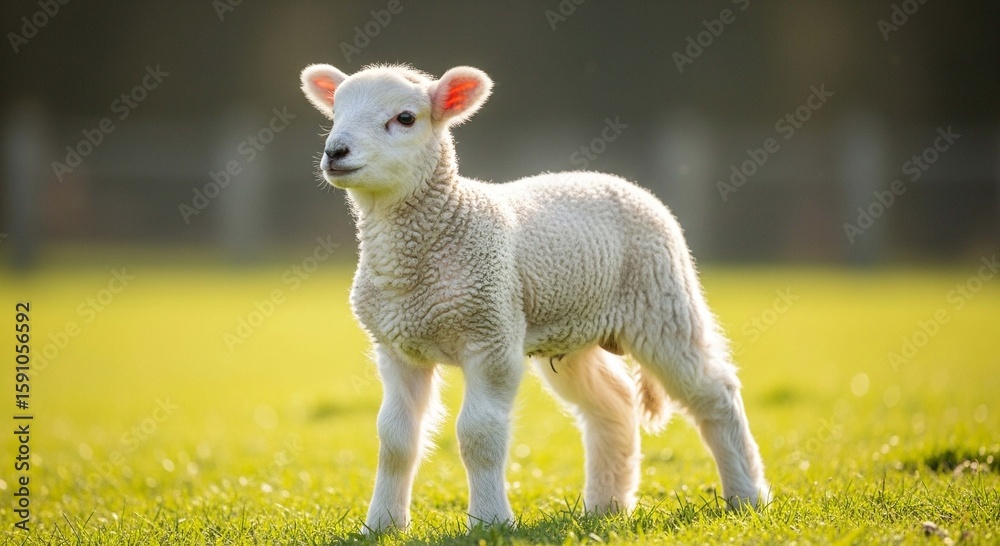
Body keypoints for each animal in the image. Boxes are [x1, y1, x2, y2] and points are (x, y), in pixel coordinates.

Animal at [299, 62, 771, 533]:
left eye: (405, 118)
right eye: (335, 113)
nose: (335, 151)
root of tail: (618, 180)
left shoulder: (491, 334)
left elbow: (479, 435)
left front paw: (489, 523)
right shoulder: (397, 348)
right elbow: (395, 439)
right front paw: (382, 525)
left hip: (661, 299)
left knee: (714, 392)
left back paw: (746, 496)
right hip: (575, 331)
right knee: (614, 404)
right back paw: (606, 506)